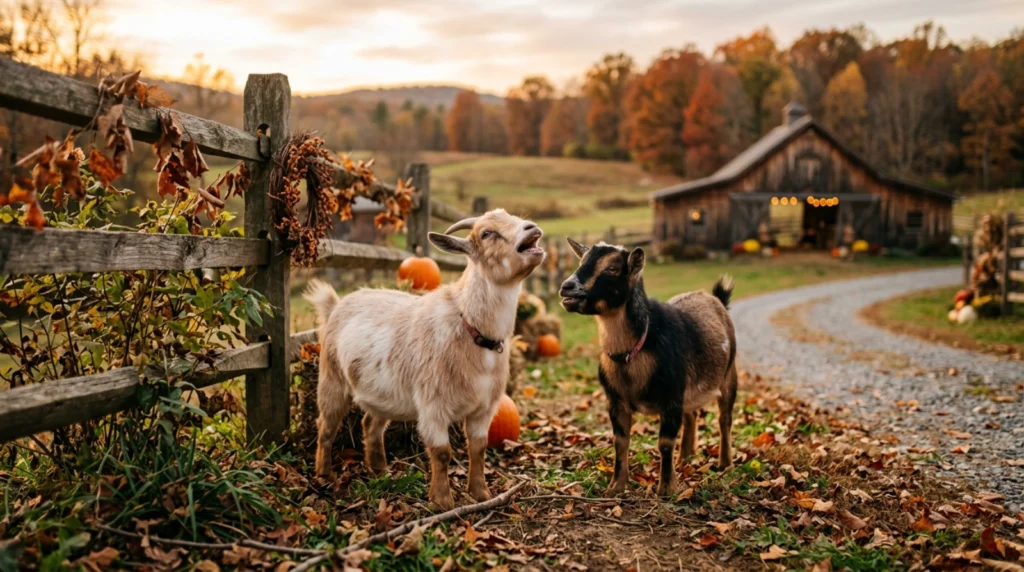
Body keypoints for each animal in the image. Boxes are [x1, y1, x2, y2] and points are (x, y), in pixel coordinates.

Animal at [304, 209, 545, 510]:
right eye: (486, 233)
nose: (532, 228)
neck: (470, 326)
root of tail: (336, 305)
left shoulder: (485, 408)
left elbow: (478, 449)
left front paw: (481, 494)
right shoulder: (433, 405)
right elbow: (442, 452)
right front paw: (442, 501)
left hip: (381, 394)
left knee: (370, 425)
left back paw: (380, 471)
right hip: (332, 379)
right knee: (326, 427)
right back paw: (323, 474)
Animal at [558, 239, 737, 497]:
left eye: (613, 268)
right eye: (581, 261)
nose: (567, 287)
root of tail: (716, 299)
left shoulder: (671, 397)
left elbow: (665, 443)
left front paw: (666, 489)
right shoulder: (616, 401)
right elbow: (620, 441)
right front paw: (616, 486)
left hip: (729, 374)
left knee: (725, 419)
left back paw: (725, 463)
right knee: (692, 414)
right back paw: (685, 458)